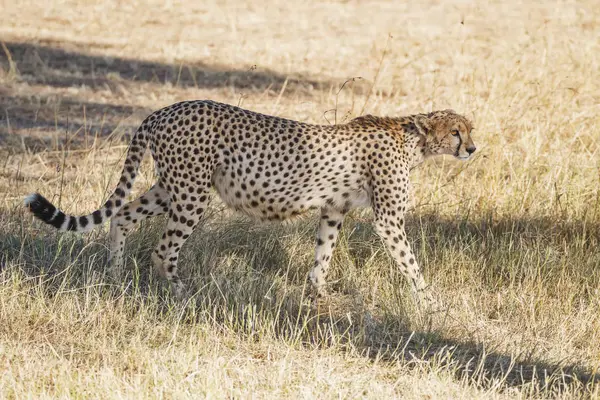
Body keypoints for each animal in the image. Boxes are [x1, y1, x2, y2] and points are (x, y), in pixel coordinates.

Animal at [24, 100, 478, 306]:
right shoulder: (388, 219)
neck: (413, 139)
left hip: (172, 188)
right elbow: (410, 262)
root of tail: (164, 109)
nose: (473, 149)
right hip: (191, 194)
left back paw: (115, 275)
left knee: (122, 215)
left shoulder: (334, 209)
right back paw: (183, 294)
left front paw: (317, 294)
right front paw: (430, 302)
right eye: (456, 131)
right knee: (163, 248)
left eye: (470, 129)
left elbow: (324, 252)